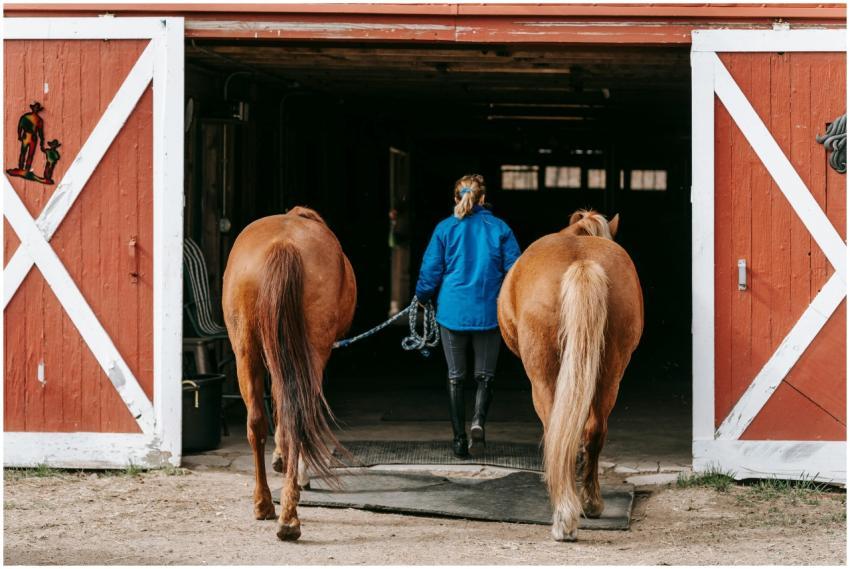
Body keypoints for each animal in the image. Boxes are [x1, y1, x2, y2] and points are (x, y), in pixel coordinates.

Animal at [222, 206, 357, 541]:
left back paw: (265, 505)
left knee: (256, 422)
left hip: (246, 352)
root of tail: (284, 245)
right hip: (311, 354)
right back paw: (289, 517)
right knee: (299, 419)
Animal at [497, 210, 643, 541]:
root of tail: (582, 263)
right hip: (610, 374)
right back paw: (590, 503)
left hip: (542, 378)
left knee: (555, 429)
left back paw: (564, 517)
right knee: (594, 430)